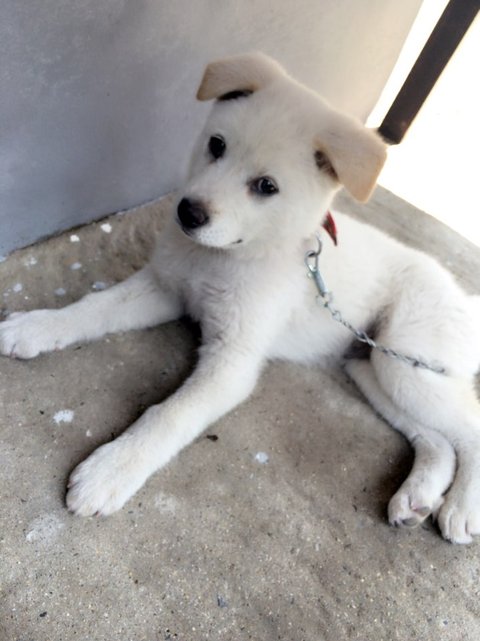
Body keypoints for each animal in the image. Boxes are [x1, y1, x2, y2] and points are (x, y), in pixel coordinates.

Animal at [1, 53, 479, 543]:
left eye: (267, 186)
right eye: (216, 145)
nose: (187, 213)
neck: (225, 257)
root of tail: (465, 298)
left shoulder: (233, 362)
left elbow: (170, 415)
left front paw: (111, 470)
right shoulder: (165, 289)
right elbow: (93, 308)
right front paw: (36, 326)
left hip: (406, 364)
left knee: (470, 430)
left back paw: (461, 506)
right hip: (370, 368)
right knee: (438, 440)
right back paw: (416, 498)